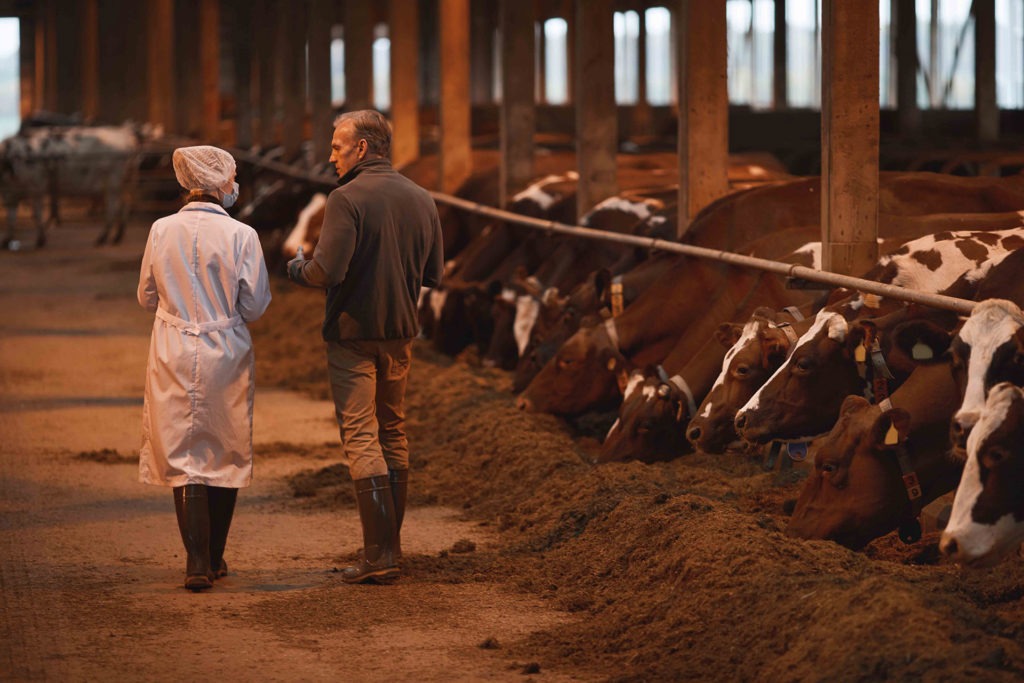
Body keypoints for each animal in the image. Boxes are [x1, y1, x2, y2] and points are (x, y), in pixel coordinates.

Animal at [0, 124, 142, 249]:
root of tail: (126, 136)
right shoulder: (10, 193)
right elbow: (11, 216)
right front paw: (6, 241)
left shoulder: (36, 186)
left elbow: (36, 213)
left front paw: (40, 241)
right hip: (125, 182)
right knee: (125, 204)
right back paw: (117, 237)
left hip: (114, 180)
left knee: (113, 207)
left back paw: (101, 238)